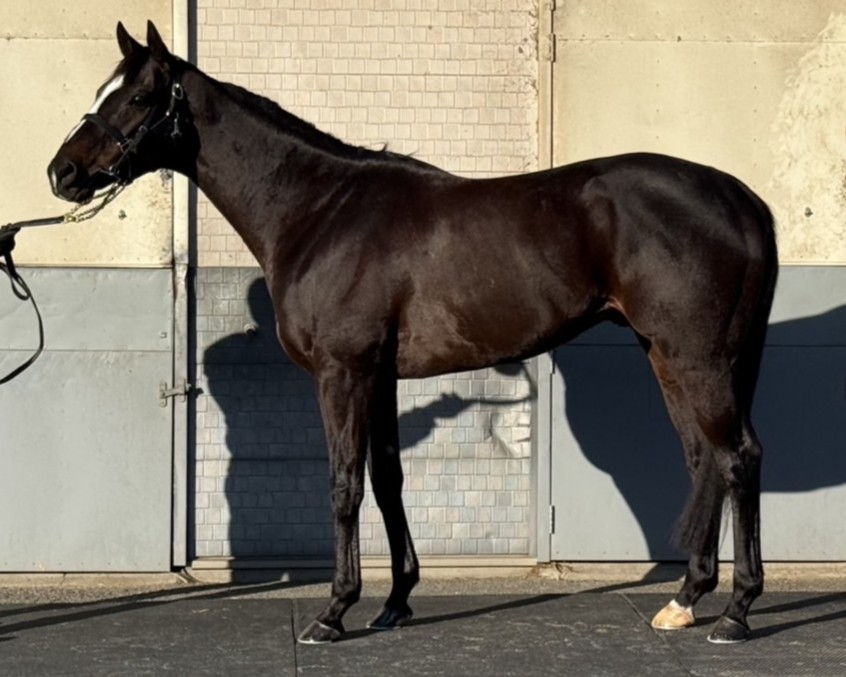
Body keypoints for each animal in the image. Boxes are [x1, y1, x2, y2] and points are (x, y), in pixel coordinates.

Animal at [47, 21, 778, 645]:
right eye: (101, 91)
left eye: (138, 96)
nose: (63, 173)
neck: (318, 209)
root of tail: (740, 199)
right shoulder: (381, 377)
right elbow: (389, 478)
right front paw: (396, 601)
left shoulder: (343, 373)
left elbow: (344, 482)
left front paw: (335, 610)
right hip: (671, 357)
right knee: (704, 460)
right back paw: (685, 598)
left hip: (700, 359)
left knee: (739, 457)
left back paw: (736, 612)